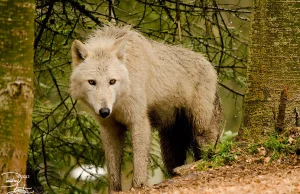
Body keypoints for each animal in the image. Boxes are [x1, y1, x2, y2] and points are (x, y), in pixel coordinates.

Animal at [69, 25, 220, 192]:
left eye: (112, 81)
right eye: (92, 82)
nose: (104, 111)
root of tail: (210, 65)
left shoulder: (139, 122)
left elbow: (140, 162)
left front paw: (138, 186)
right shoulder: (109, 129)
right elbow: (113, 170)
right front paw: (114, 190)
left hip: (201, 131)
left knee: (210, 153)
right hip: (169, 147)